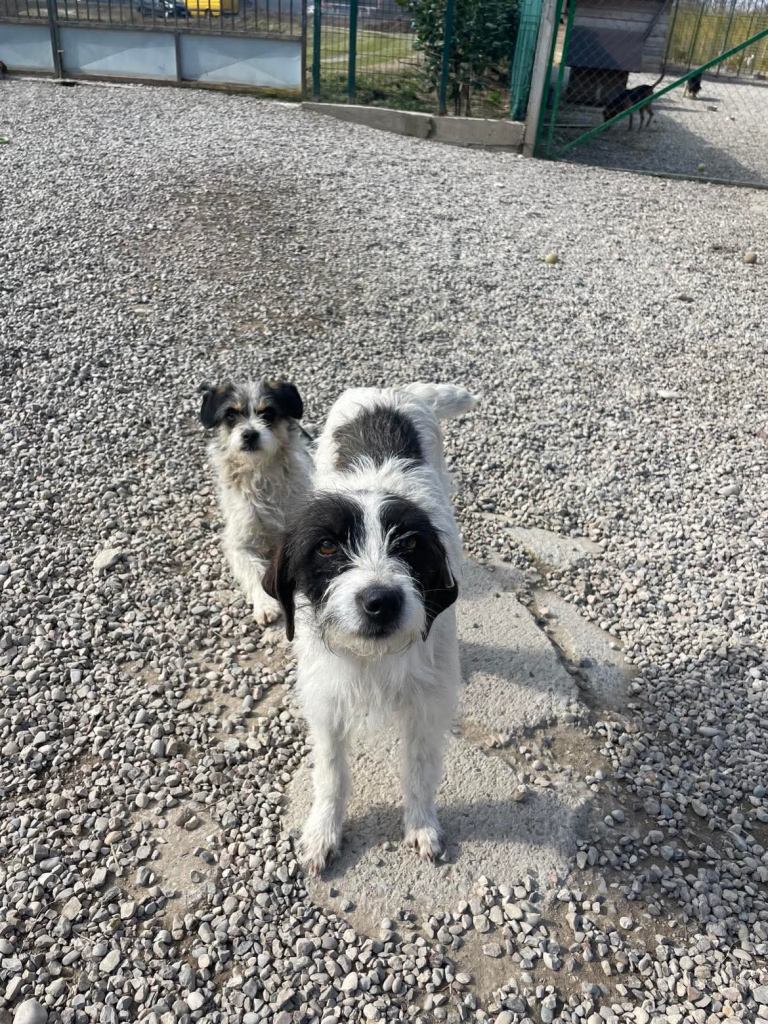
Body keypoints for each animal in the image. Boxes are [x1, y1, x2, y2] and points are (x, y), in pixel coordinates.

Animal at [199, 378, 312, 625]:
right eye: (231, 415)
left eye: (268, 413)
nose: (249, 434)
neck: (261, 474)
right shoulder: (239, 544)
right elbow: (251, 568)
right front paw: (265, 604)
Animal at [264, 382, 478, 874]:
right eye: (326, 547)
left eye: (411, 545)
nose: (381, 601)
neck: (372, 661)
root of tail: (392, 390)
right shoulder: (325, 703)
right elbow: (331, 773)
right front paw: (323, 831)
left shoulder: (428, 707)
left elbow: (420, 770)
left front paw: (421, 825)